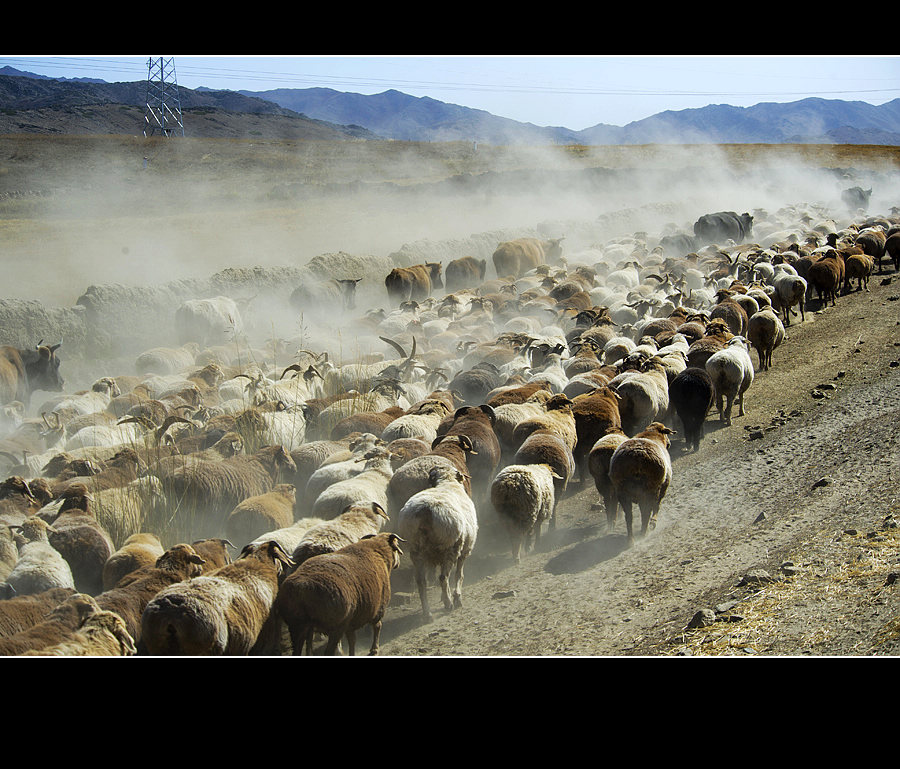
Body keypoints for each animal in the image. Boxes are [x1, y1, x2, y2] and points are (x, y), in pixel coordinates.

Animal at [272, 536, 402, 656]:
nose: (398, 564)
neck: (378, 553)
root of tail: (301, 588)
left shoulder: (351, 620)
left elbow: (352, 640)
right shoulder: (378, 608)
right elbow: (377, 627)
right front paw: (374, 649)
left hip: (298, 625)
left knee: (299, 650)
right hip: (335, 626)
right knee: (328, 652)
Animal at [396, 464, 478, 620]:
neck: (447, 482)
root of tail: (425, 511)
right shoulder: (465, 549)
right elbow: (459, 575)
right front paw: (457, 598)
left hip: (416, 550)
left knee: (421, 581)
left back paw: (427, 614)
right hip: (450, 547)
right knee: (443, 577)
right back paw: (448, 604)